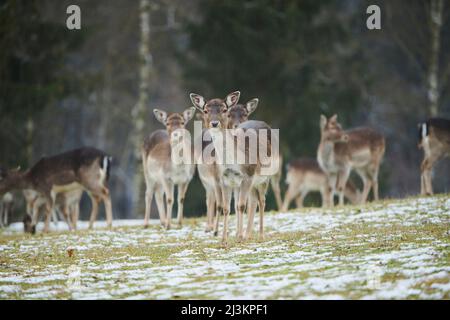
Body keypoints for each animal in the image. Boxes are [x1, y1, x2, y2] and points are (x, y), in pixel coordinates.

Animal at [190, 91, 278, 244]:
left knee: (261, 201)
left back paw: (260, 235)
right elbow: (227, 208)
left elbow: (241, 206)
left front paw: (239, 237)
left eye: (225, 110)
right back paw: (247, 234)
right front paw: (224, 239)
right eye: (206, 110)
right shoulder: (224, 179)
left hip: (264, 177)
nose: (214, 123)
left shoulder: (248, 175)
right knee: (253, 200)